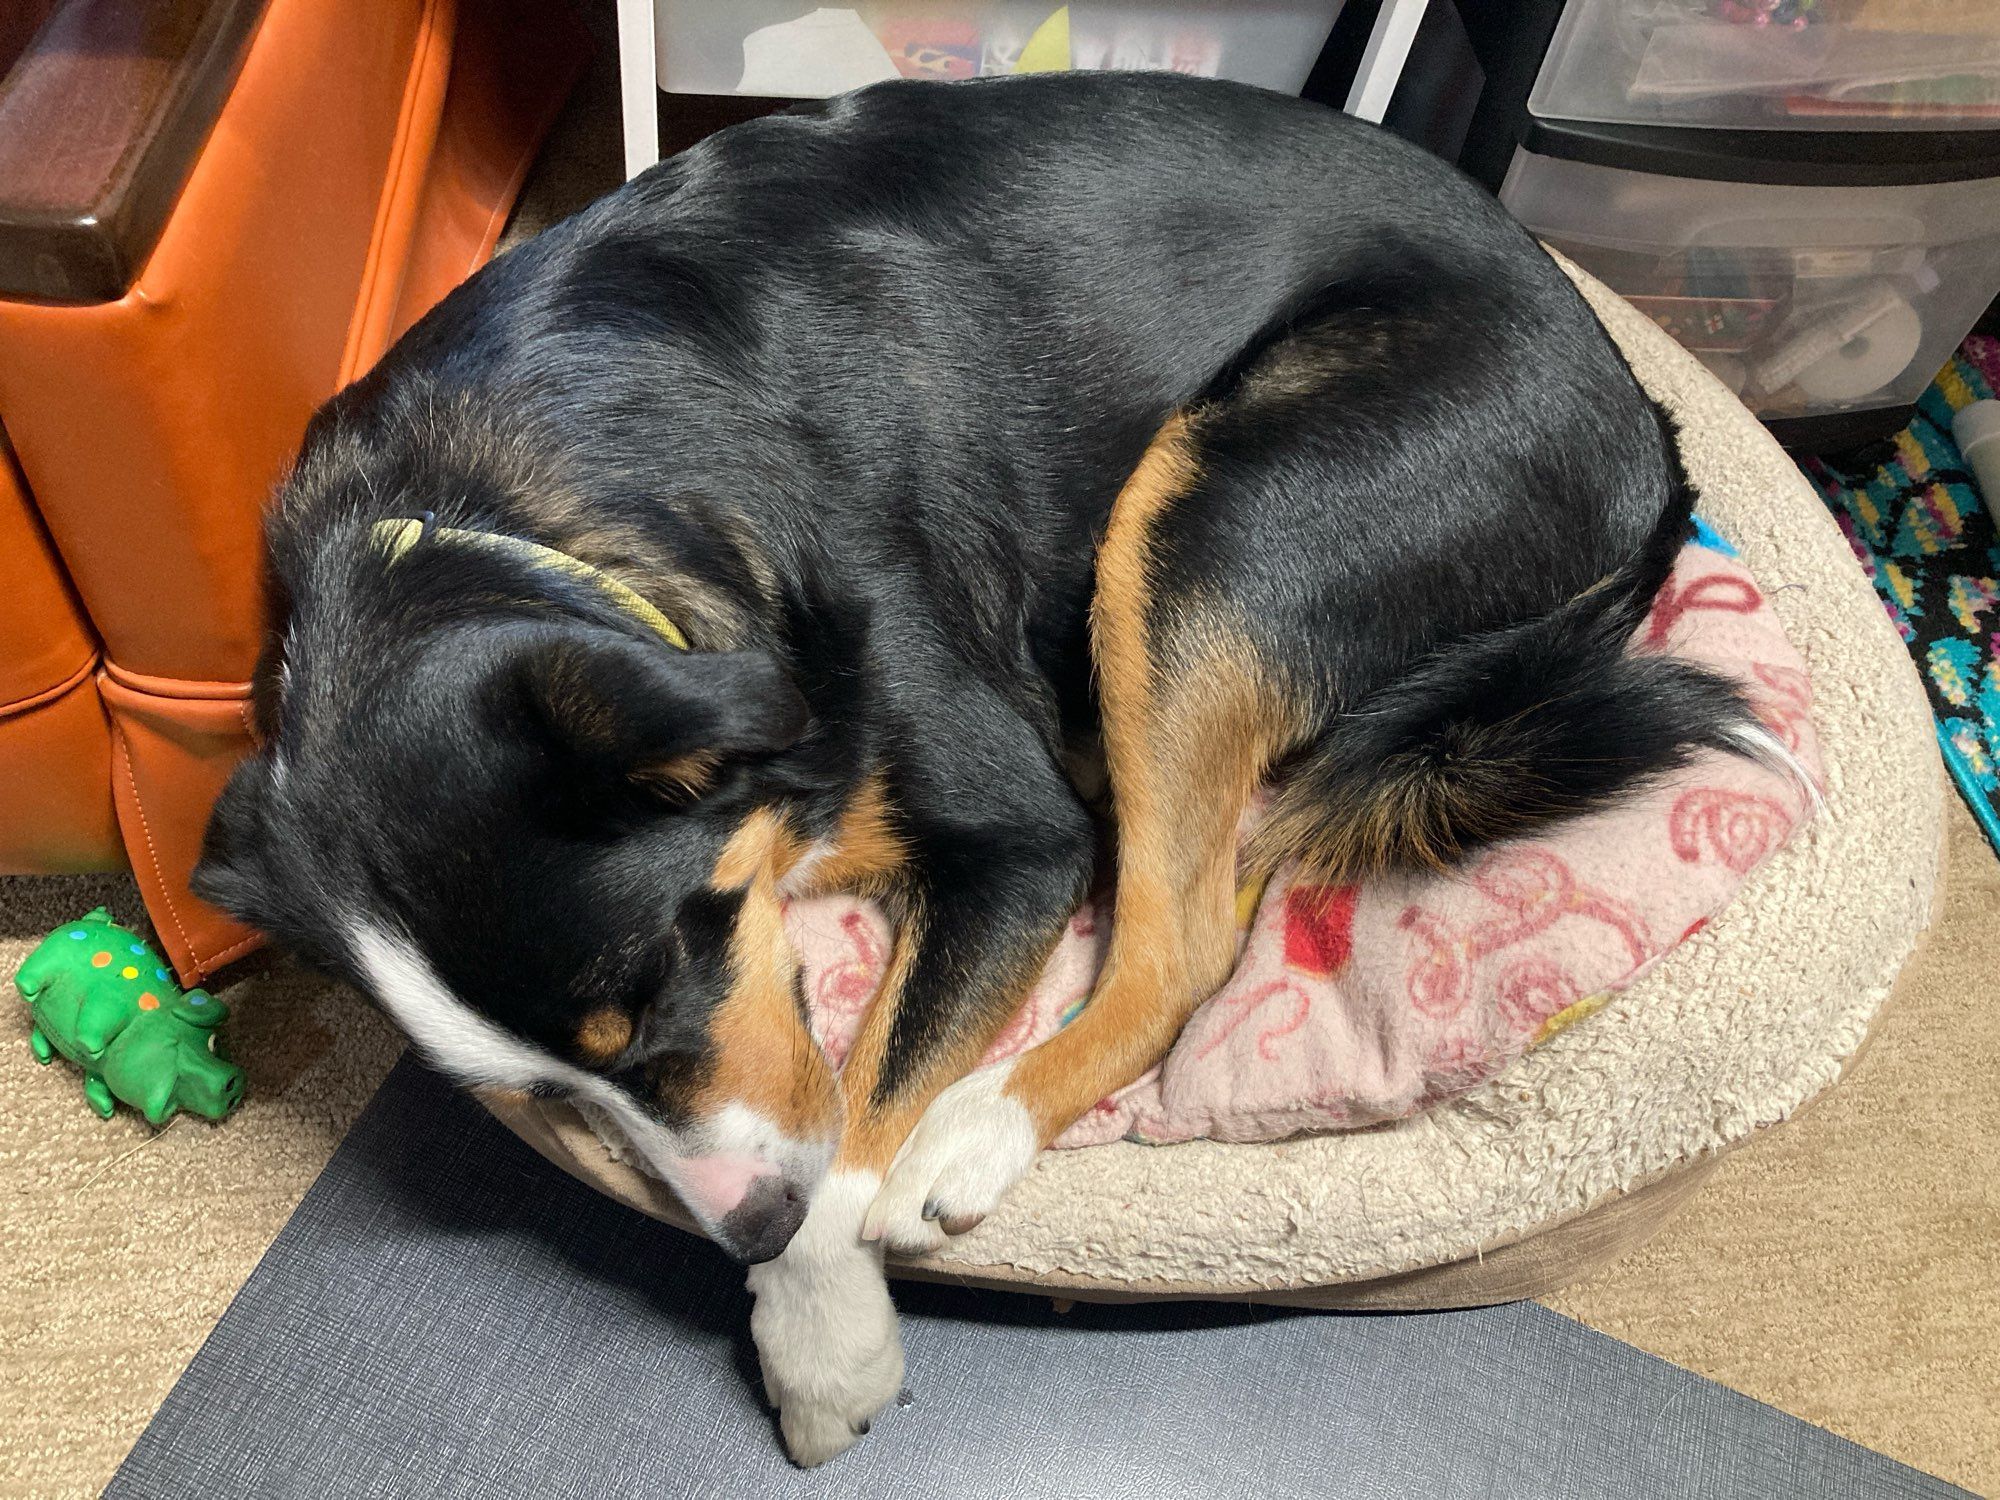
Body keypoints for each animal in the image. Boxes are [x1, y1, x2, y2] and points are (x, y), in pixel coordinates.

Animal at [191, 73, 1784, 1472]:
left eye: (652, 989)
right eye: (538, 1092)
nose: (741, 1232)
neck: (492, 512)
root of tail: (1647, 432)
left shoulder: (1018, 840)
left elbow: (855, 1118)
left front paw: (818, 1339)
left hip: (1217, 518)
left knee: (1186, 937)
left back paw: (977, 1131)